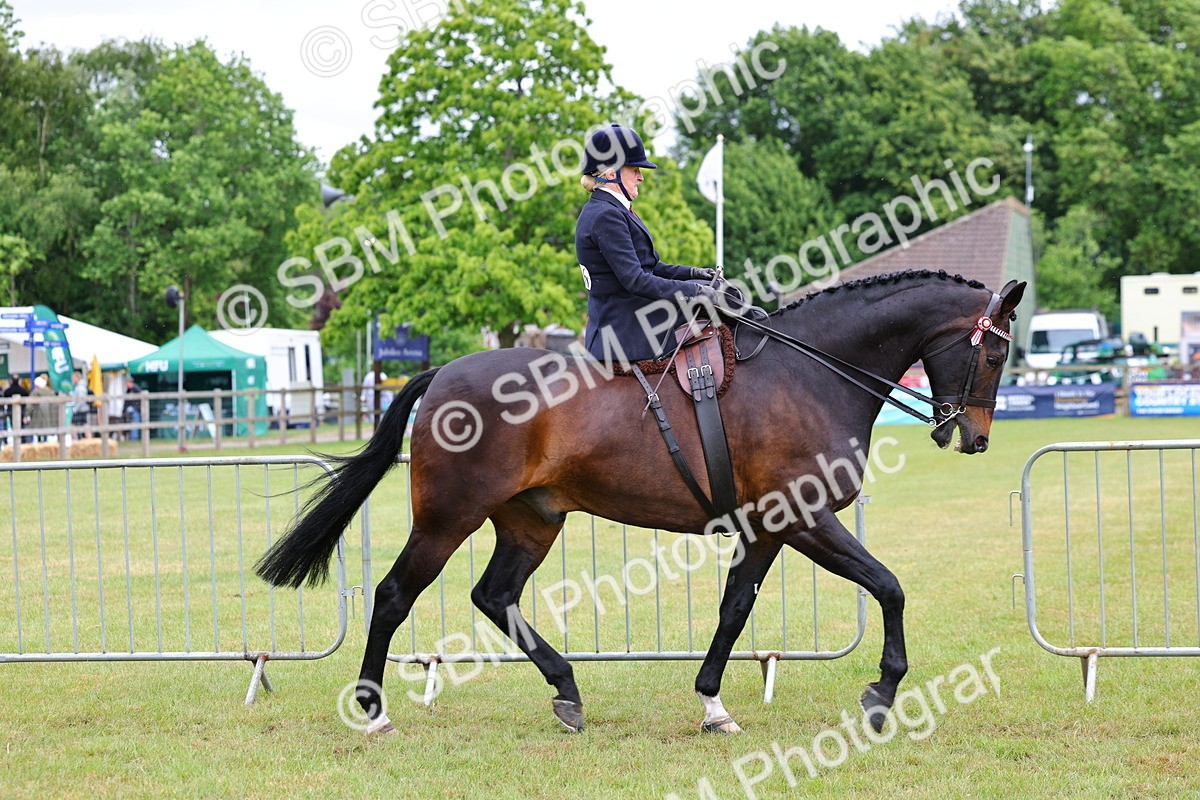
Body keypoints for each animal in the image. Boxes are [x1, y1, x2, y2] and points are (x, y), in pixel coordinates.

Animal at [256, 269, 1025, 735]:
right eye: (995, 357)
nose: (976, 438)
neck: (809, 374)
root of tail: (442, 371)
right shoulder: (804, 517)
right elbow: (889, 587)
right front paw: (882, 694)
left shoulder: (768, 527)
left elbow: (734, 609)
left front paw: (713, 702)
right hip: (447, 519)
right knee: (393, 595)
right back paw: (372, 707)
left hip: (531, 521)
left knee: (494, 595)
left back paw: (567, 691)